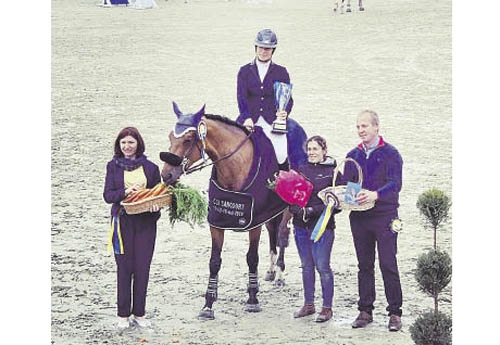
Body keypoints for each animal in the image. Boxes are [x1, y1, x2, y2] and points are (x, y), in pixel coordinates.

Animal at [160, 102, 292, 320]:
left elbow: (252, 258)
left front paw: (253, 299)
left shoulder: (253, 222)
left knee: (282, 234)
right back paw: (272, 271)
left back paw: (280, 273)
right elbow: (214, 261)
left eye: (188, 139)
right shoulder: (217, 222)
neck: (234, 167)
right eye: (171, 137)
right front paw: (208, 304)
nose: (166, 174)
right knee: (273, 231)